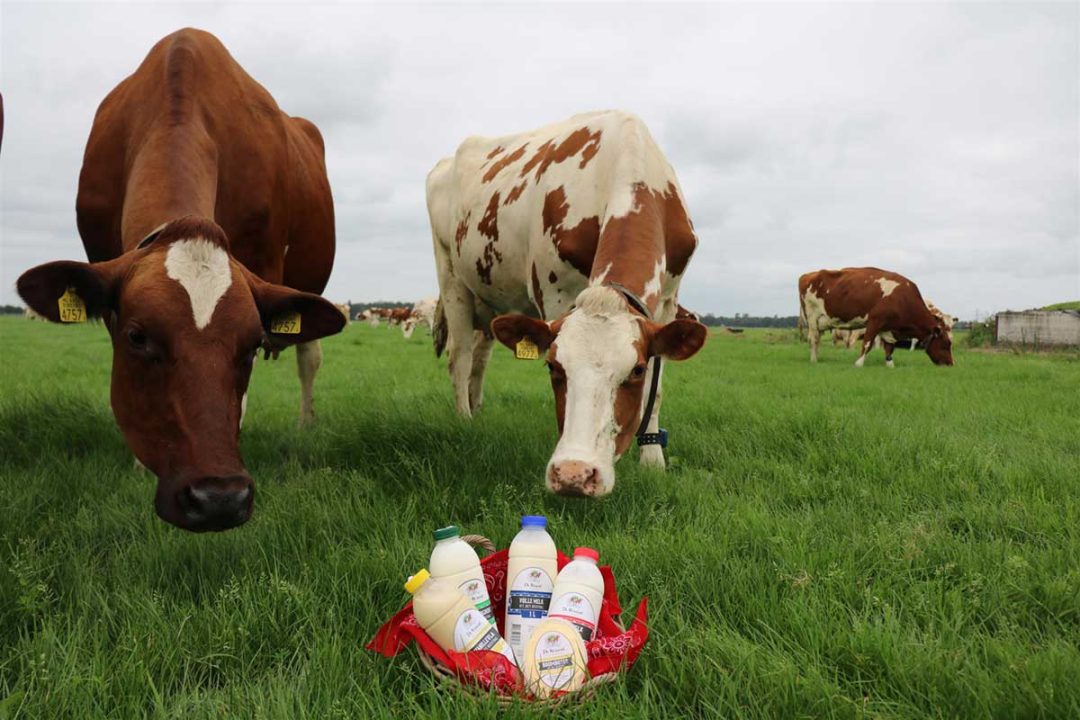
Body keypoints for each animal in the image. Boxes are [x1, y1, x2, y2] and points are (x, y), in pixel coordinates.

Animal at [14, 31, 343, 533]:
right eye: (137, 337)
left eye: (252, 343)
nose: (218, 499)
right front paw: (139, 463)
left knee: (310, 358)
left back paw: (305, 424)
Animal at [425, 110, 712, 498]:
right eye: (552, 366)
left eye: (636, 370)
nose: (576, 473)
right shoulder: (555, 292)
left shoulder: (668, 300)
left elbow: (657, 387)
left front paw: (653, 462)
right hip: (452, 278)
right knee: (461, 357)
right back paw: (465, 419)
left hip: (491, 297)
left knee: (480, 359)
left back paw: (478, 408)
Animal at [794, 267, 954, 367]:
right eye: (946, 344)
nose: (951, 364)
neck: (902, 298)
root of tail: (808, 275)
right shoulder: (875, 321)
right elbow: (867, 343)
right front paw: (859, 363)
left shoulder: (889, 327)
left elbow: (889, 348)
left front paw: (890, 364)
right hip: (812, 318)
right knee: (813, 339)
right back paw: (814, 360)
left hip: (821, 323)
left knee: (817, 340)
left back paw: (816, 358)